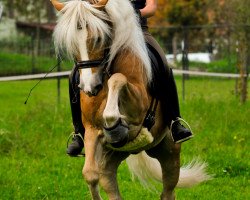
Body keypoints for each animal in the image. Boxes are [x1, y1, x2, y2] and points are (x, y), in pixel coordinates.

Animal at [50, 0, 211, 199]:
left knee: (168, 191)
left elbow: (118, 79)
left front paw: (115, 123)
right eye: (72, 43)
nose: (89, 87)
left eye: (98, 38)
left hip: (170, 154)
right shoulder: (91, 130)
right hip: (110, 159)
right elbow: (90, 175)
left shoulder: (139, 107)